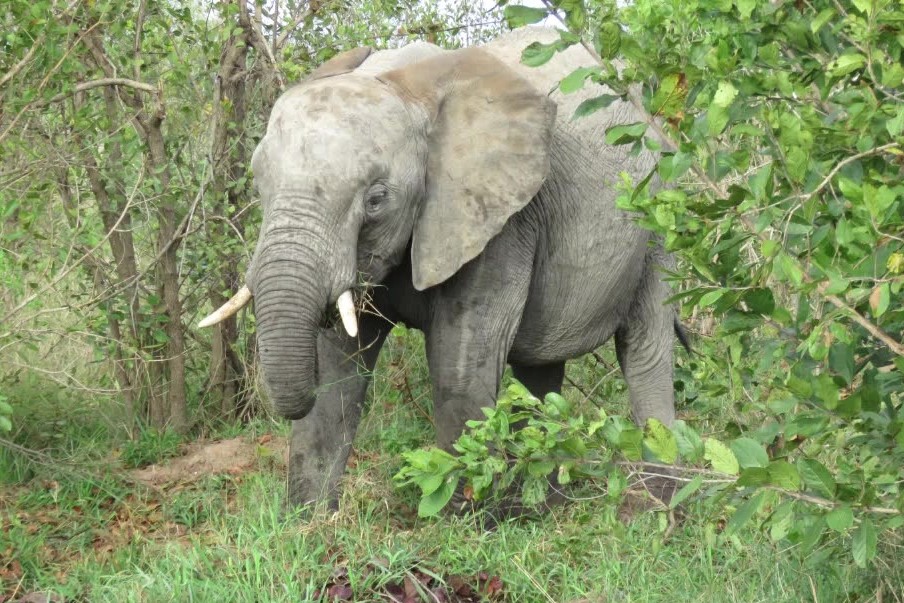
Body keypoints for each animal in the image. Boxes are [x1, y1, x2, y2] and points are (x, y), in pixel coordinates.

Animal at [201, 26, 688, 508]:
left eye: (376, 199)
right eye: (259, 184)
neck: (406, 87)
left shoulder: (497, 217)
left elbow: (462, 356)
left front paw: (461, 515)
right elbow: (338, 360)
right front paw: (311, 517)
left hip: (660, 214)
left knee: (645, 346)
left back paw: (658, 504)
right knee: (539, 364)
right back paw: (539, 506)